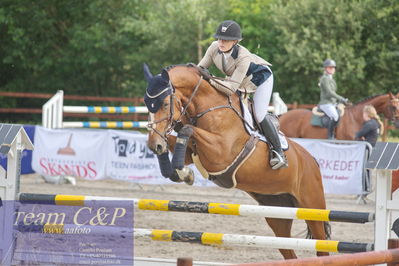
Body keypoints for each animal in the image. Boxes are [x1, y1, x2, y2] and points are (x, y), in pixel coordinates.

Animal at [144, 64, 332, 260]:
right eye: (146, 103)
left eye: (165, 104)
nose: (153, 145)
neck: (210, 107)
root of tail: (312, 161)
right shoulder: (192, 153)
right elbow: (178, 141)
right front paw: (178, 170)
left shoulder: (220, 152)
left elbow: (187, 129)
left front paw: (183, 172)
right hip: (277, 212)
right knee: (288, 251)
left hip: (312, 208)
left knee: (322, 245)